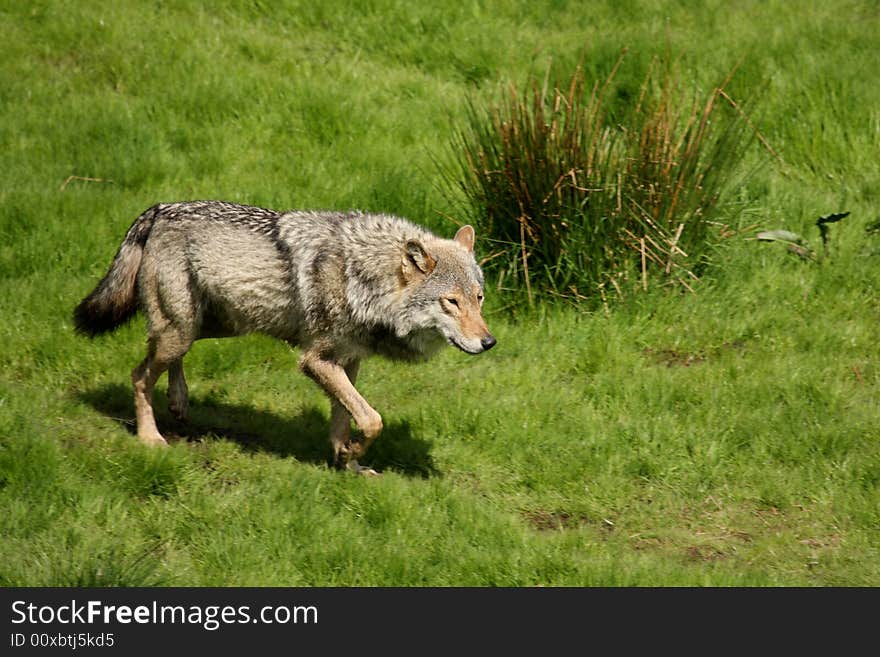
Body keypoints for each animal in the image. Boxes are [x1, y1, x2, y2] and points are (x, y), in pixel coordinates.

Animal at [74, 200, 496, 472]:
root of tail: (159, 209)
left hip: (208, 327)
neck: (364, 278)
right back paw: (150, 437)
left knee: (158, 355)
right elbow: (372, 419)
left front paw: (346, 461)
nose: (489, 343)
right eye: (451, 303)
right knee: (140, 375)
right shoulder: (316, 361)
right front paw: (352, 454)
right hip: (183, 329)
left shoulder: (348, 361)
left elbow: (346, 417)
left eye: (478, 299)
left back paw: (179, 401)